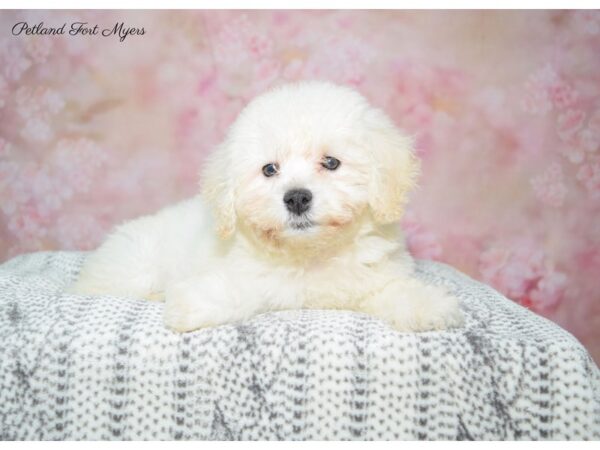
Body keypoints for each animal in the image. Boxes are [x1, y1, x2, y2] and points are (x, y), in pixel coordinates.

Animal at [69, 81, 464, 334]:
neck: (311, 255)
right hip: (131, 269)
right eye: (269, 170)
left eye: (331, 163)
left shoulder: (372, 277)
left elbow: (392, 289)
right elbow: (240, 291)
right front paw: (191, 303)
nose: (297, 197)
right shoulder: (253, 276)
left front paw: (430, 305)